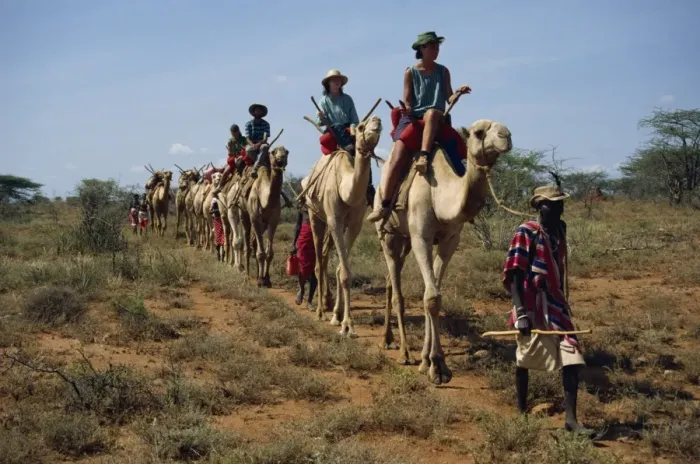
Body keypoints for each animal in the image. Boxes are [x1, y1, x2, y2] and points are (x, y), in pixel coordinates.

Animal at [226, 147, 289, 286]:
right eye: (274, 152)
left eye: (287, 152)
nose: (281, 158)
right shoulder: (255, 218)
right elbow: (260, 252)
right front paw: (260, 280)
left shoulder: (273, 220)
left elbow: (269, 253)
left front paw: (267, 279)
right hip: (243, 214)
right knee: (246, 244)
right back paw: (247, 275)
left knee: (252, 244)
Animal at [299, 116, 383, 334]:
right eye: (361, 127)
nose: (377, 120)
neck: (346, 189)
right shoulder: (334, 219)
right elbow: (344, 272)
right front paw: (347, 325)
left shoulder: (354, 224)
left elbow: (340, 269)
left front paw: (338, 317)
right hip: (315, 216)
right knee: (318, 260)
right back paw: (320, 310)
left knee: (325, 255)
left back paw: (328, 303)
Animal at [375, 119, 512, 384]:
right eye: (479, 132)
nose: (506, 136)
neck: (439, 196)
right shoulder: (421, 238)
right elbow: (431, 297)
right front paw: (437, 366)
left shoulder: (450, 241)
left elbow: (433, 294)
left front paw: (428, 360)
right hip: (388, 235)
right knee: (397, 292)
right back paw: (404, 353)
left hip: (405, 240)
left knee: (389, 281)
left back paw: (387, 339)